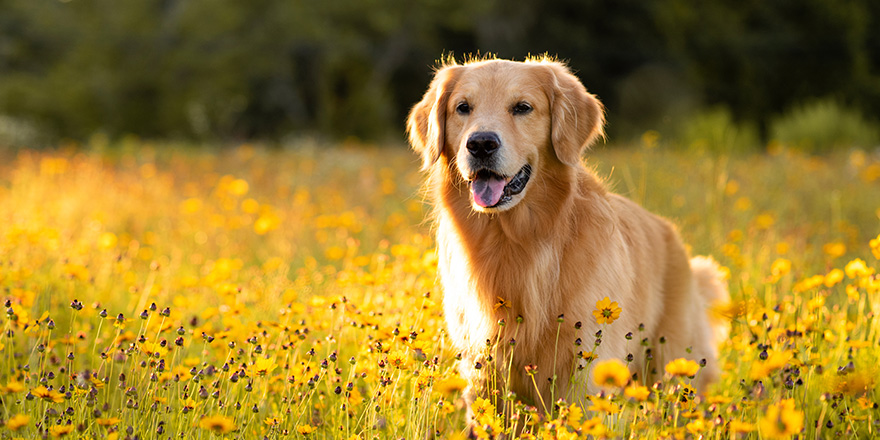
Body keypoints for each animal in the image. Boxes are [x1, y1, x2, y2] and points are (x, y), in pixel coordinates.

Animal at [408, 57, 728, 422]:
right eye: (463, 107)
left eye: (522, 107)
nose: (480, 144)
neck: (517, 242)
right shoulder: (482, 369)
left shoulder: (586, 369)